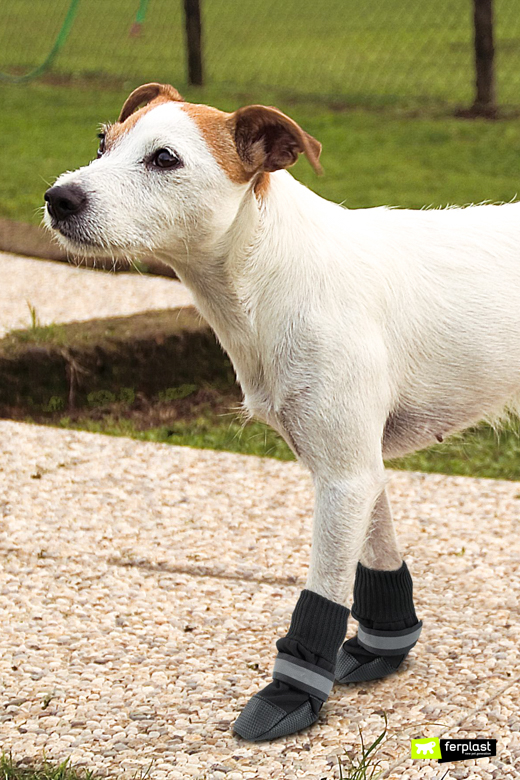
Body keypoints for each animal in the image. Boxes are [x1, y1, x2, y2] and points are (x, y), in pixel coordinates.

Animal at [44, 82, 520, 740]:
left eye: (164, 158)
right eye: (102, 143)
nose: (58, 198)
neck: (270, 272)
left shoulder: (344, 479)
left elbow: (325, 590)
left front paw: (292, 691)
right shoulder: (357, 466)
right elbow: (378, 556)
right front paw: (381, 648)